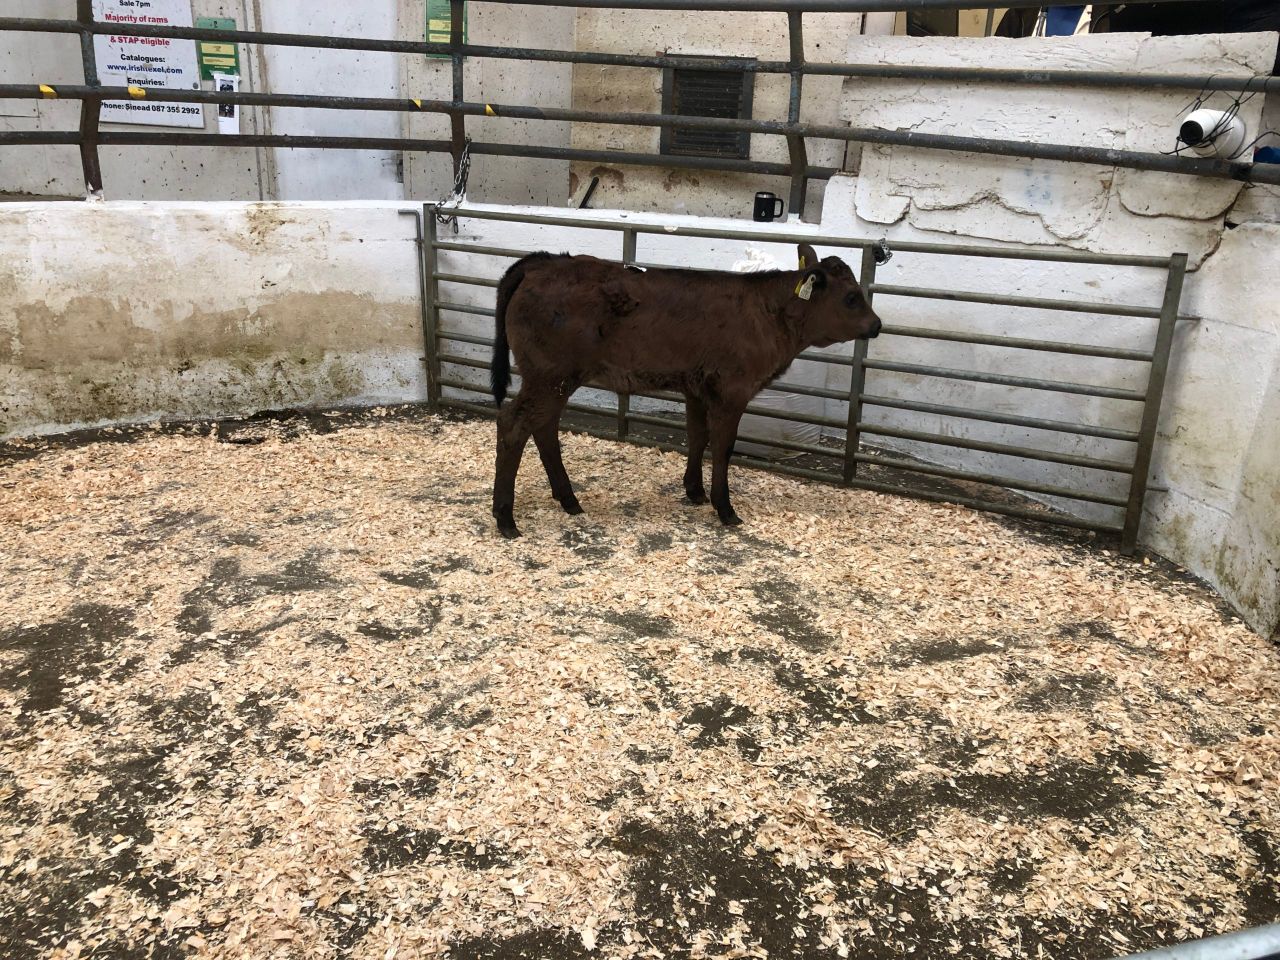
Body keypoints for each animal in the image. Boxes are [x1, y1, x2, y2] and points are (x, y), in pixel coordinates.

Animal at [488, 242, 882, 538]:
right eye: (852, 297)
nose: (877, 324)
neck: (769, 314)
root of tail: (543, 262)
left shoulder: (697, 388)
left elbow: (697, 436)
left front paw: (694, 491)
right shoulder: (732, 390)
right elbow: (723, 447)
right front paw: (724, 507)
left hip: (555, 380)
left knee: (544, 428)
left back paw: (568, 499)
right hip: (548, 376)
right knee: (513, 424)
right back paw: (506, 517)